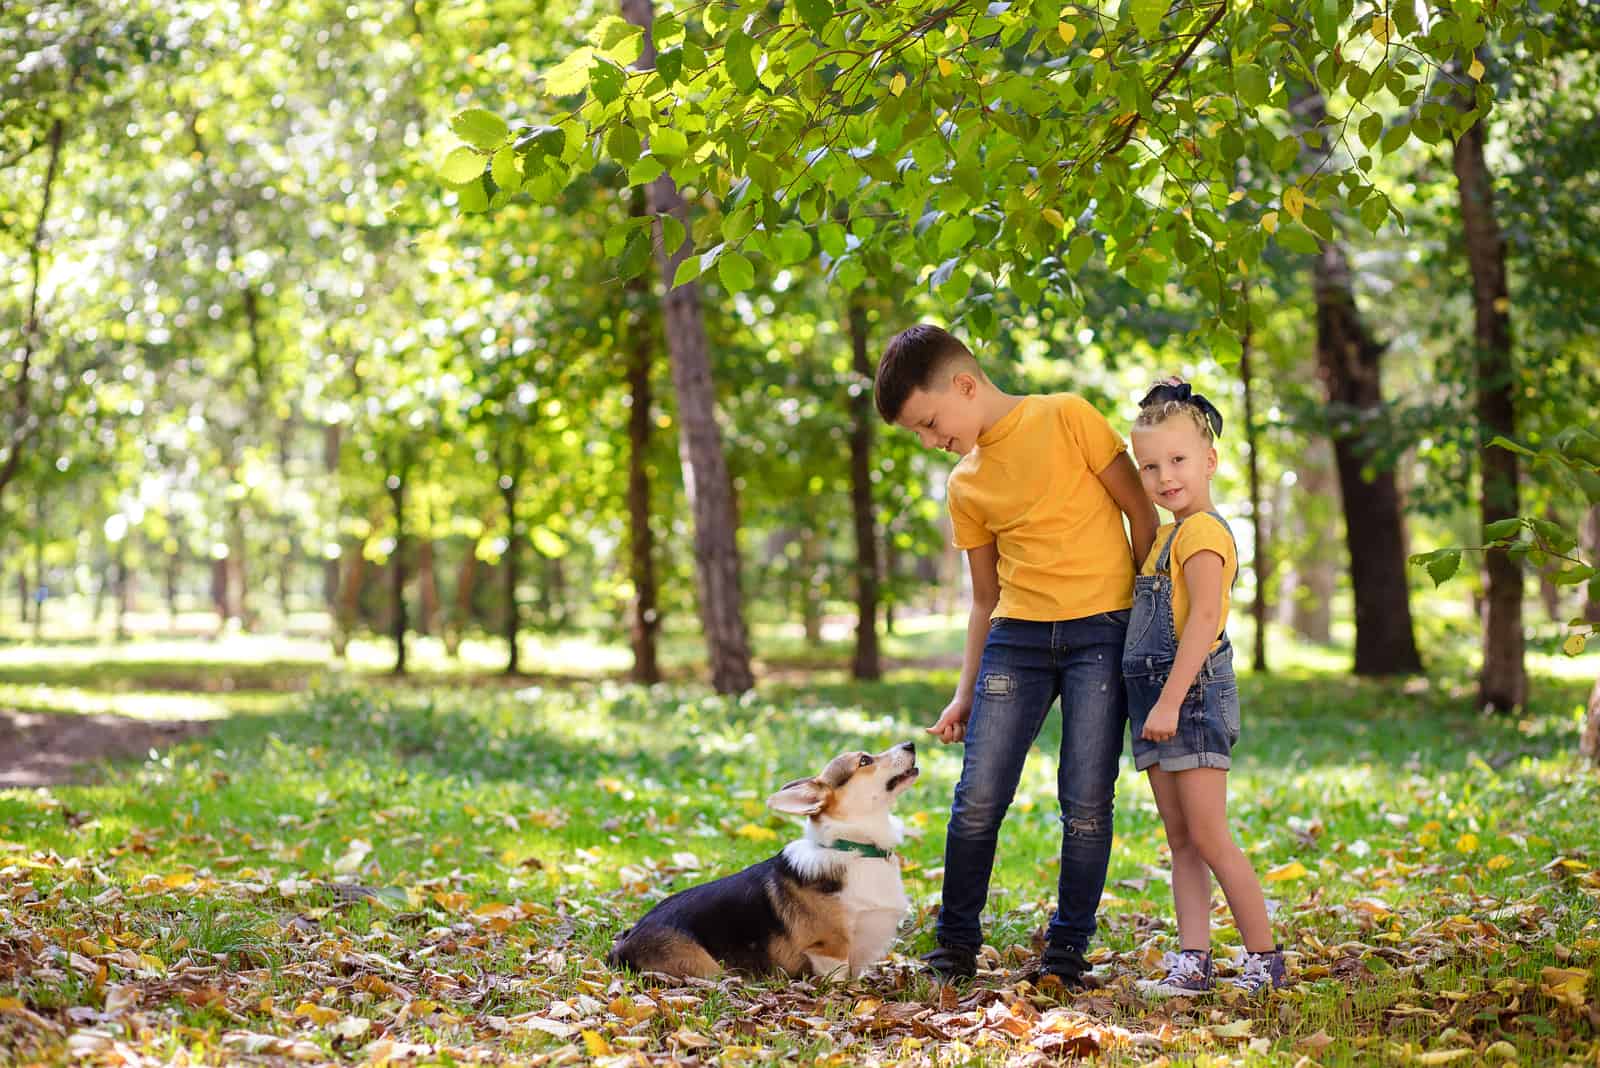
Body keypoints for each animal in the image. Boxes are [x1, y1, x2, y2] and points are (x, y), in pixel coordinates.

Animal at [604, 741, 921, 978]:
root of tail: (624, 944)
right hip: (709, 969)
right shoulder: (829, 949)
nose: (910, 744)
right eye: (865, 760)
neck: (853, 847)